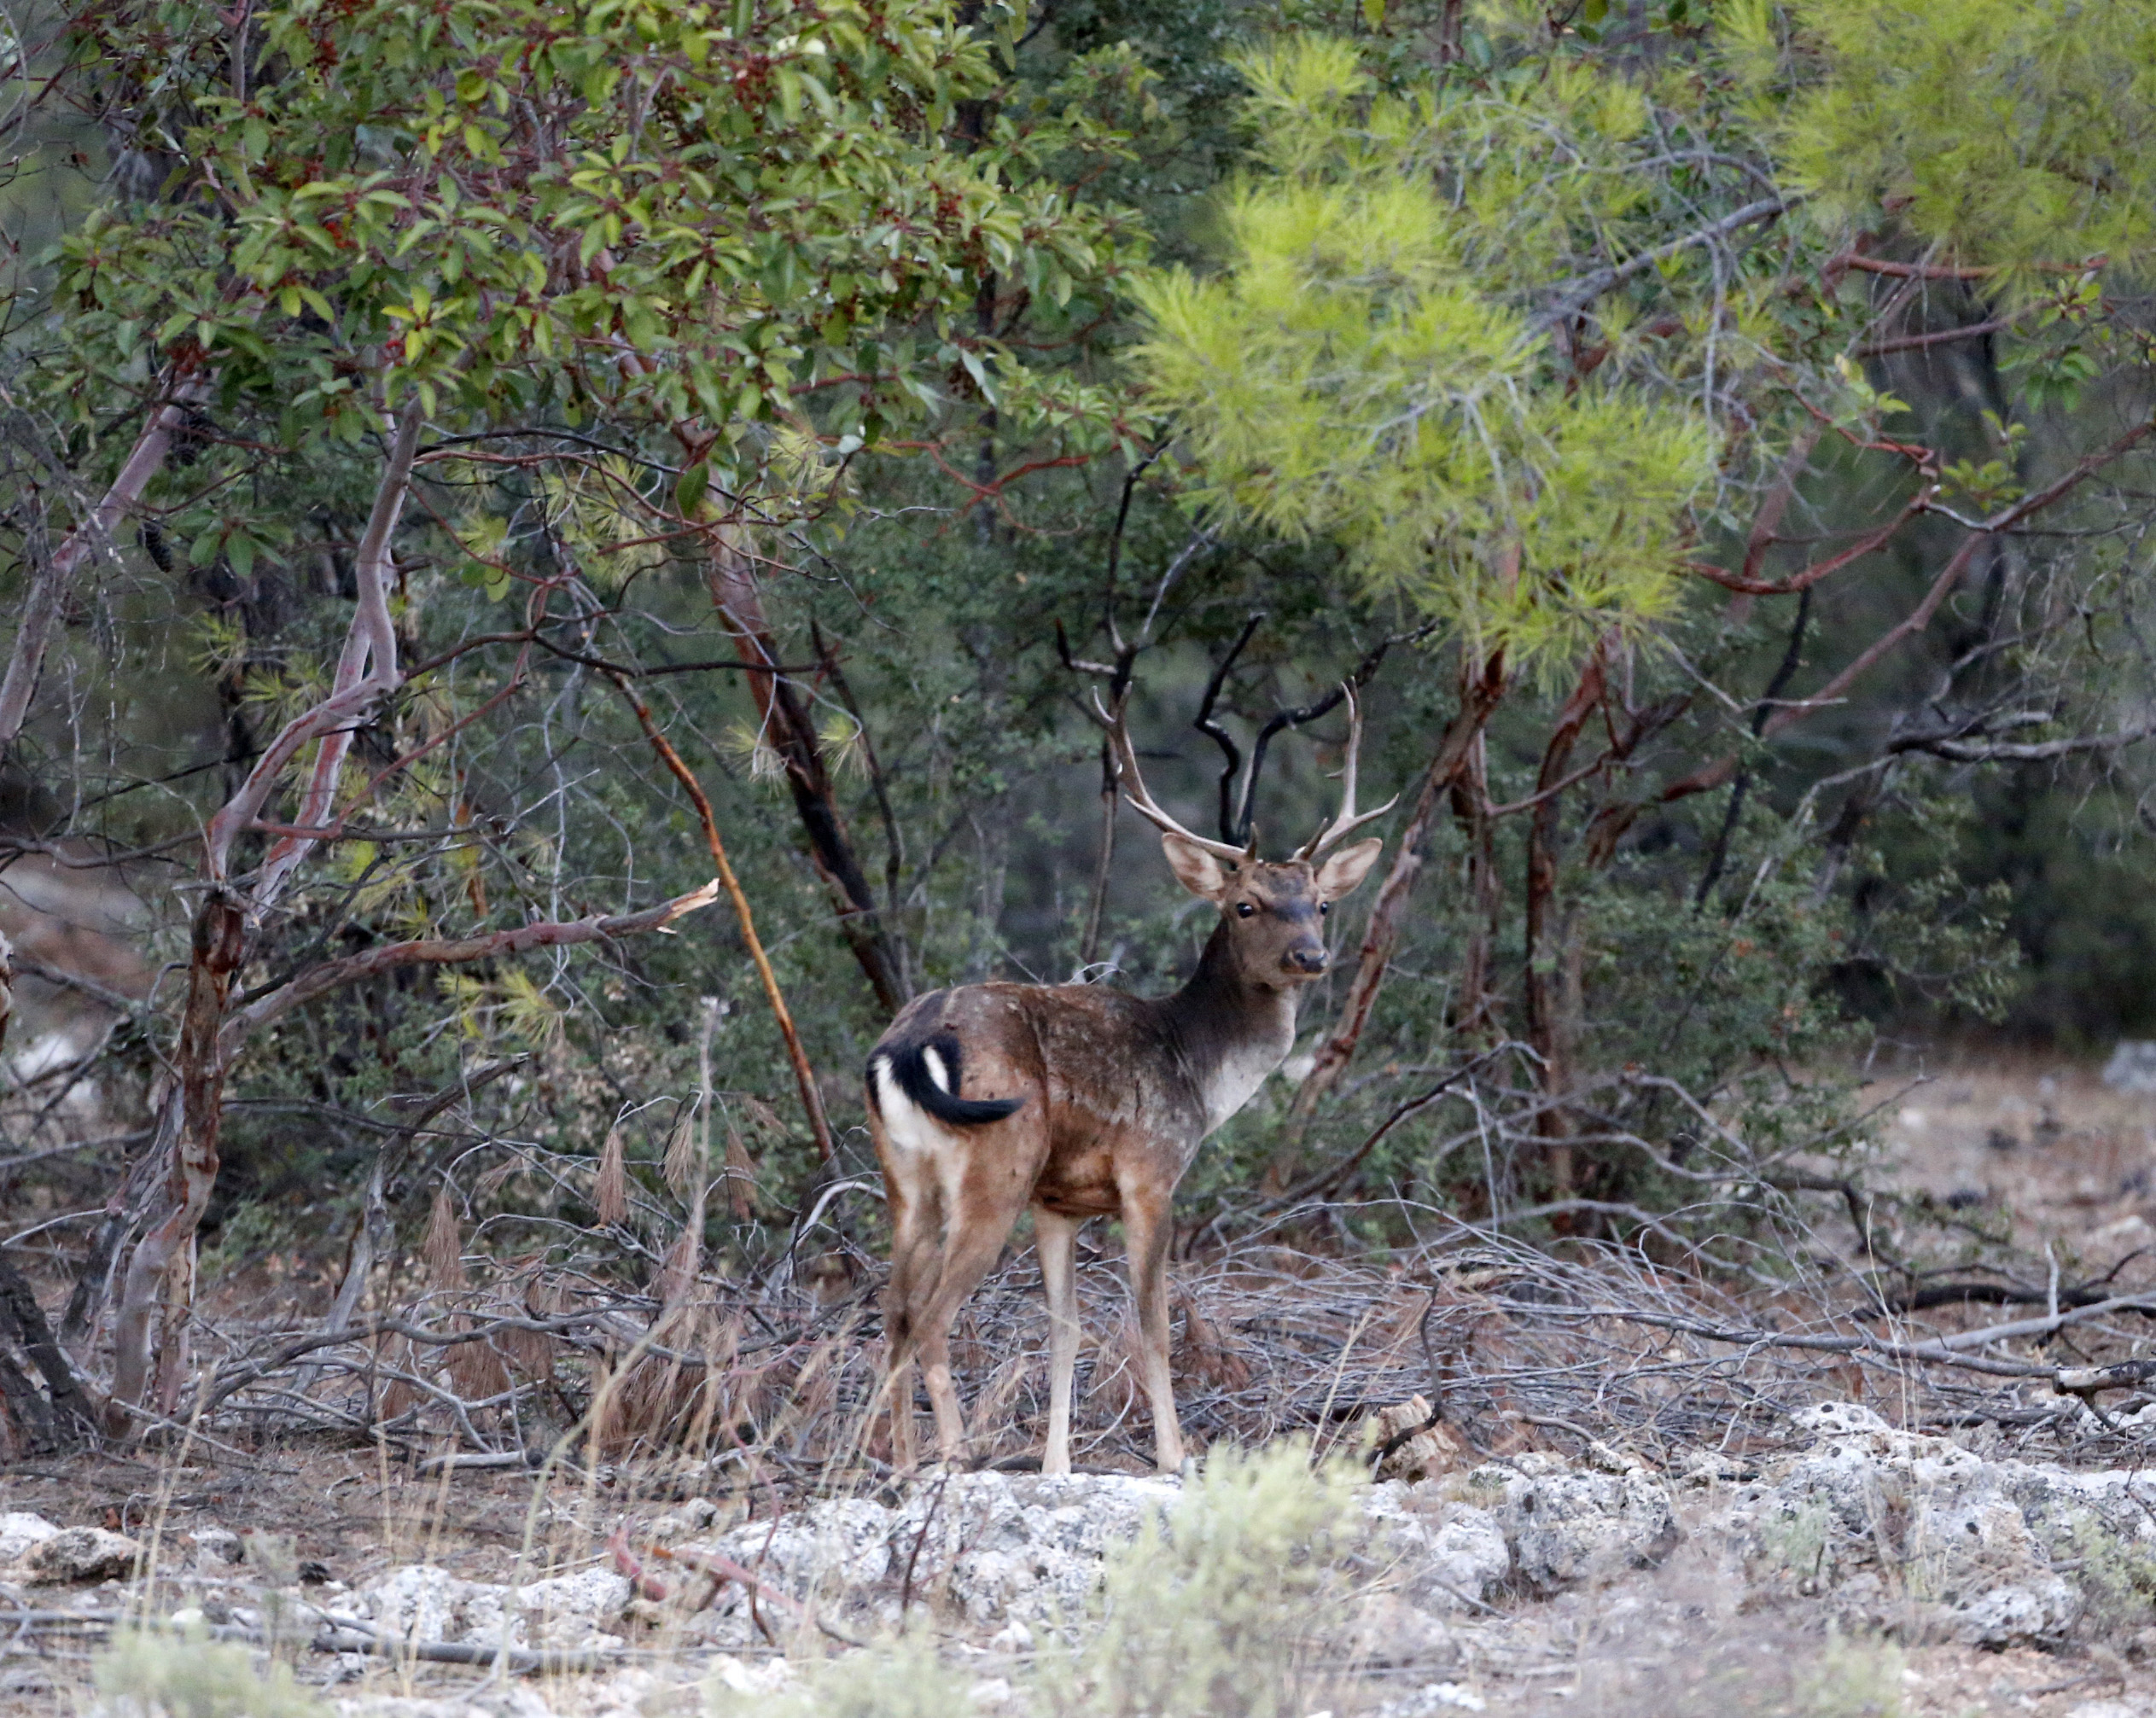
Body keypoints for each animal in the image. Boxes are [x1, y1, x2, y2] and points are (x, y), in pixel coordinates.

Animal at [862, 685, 1388, 1474]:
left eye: (1321, 903)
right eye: (1245, 904)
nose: (1310, 955)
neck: (1199, 1074)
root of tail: (907, 1042)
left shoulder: (1058, 1202)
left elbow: (1066, 1330)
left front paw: (1057, 1463)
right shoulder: (1150, 1174)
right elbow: (1152, 1324)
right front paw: (1174, 1456)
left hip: (906, 1179)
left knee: (893, 1311)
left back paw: (899, 1461)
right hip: (996, 1163)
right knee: (929, 1316)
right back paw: (954, 1457)